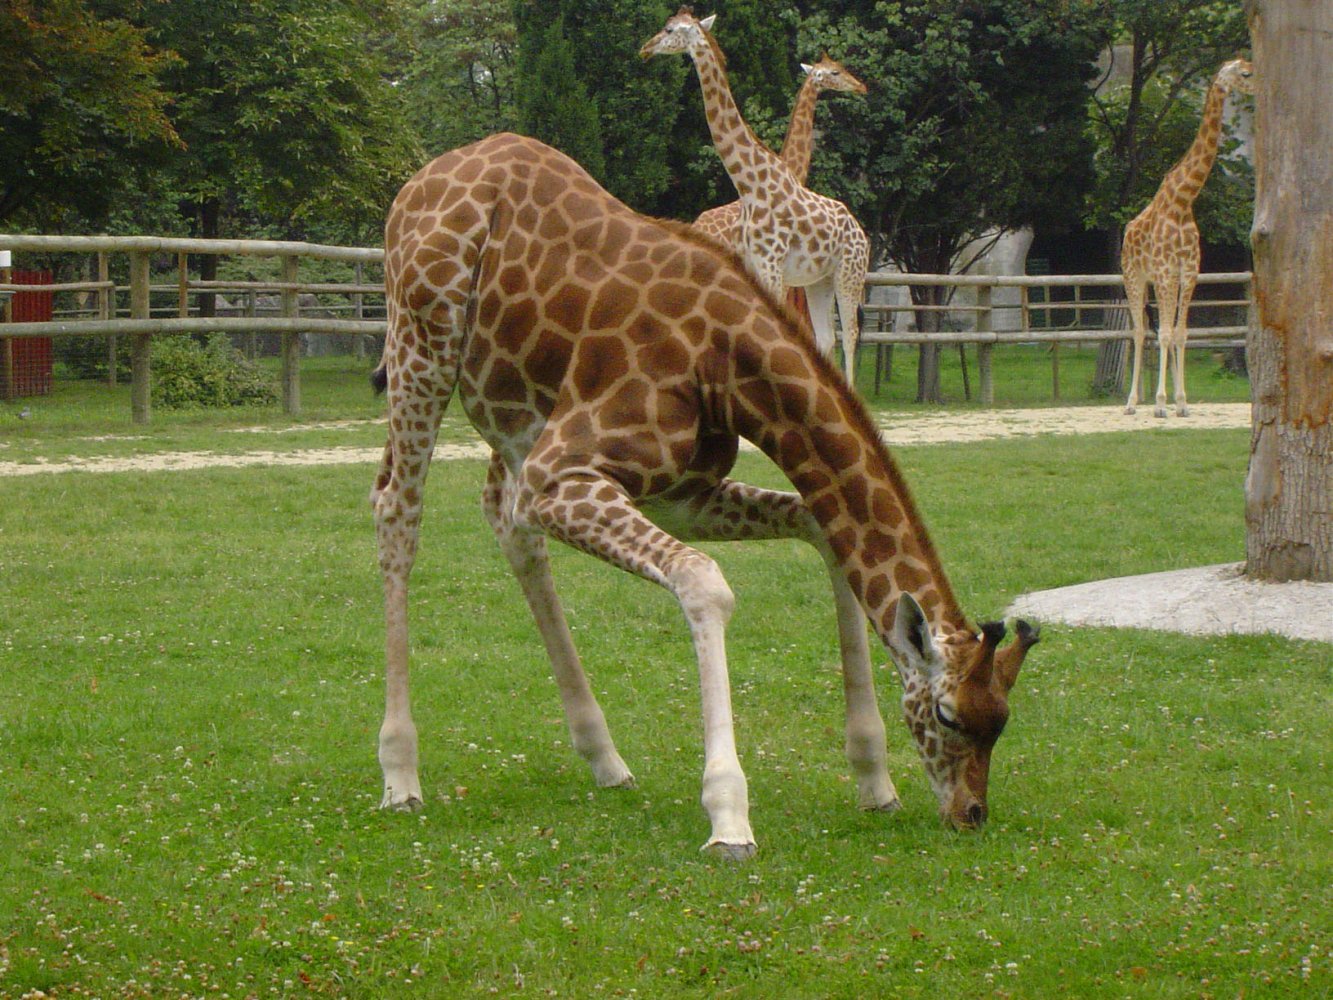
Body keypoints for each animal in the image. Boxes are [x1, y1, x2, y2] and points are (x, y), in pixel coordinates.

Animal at [373, 133, 1039, 864]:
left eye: (1002, 718)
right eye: (949, 715)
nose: (970, 813)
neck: (727, 364)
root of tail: (422, 178)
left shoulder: (678, 493)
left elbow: (821, 531)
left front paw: (873, 779)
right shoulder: (559, 475)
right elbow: (702, 582)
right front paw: (728, 816)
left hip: (512, 411)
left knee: (504, 521)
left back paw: (604, 757)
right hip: (422, 344)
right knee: (396, 512)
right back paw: (400, 773)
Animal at [1119, 56, 1253, 416]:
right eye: (1245, 73)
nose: (1259, 86)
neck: (1182, 201)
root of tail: (1126, 232)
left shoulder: (1188, 273)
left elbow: (1180, 333)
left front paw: (1181, 402)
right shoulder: (1166, 272)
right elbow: (1164, 333)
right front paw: (1160, 404)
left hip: (1157, 280)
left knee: (1154, 329)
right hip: (1134, 276)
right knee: (1139, 331)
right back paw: (1132, 402)